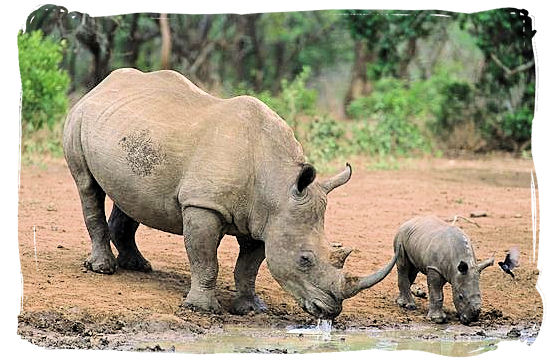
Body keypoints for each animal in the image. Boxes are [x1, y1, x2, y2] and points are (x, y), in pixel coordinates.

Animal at [63, 69, 396, 320]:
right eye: (304, 259)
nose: (330, 311)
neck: (277, 185)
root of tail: (100, 86)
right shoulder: (203, 206)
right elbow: (206, 260)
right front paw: (201, 309)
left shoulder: (266, 221)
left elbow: (248, 267)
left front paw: (251, 309)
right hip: (78, 118)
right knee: (87, 186)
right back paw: (104, 269)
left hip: (129, 132)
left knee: (130, 196)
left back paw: (138, 266)